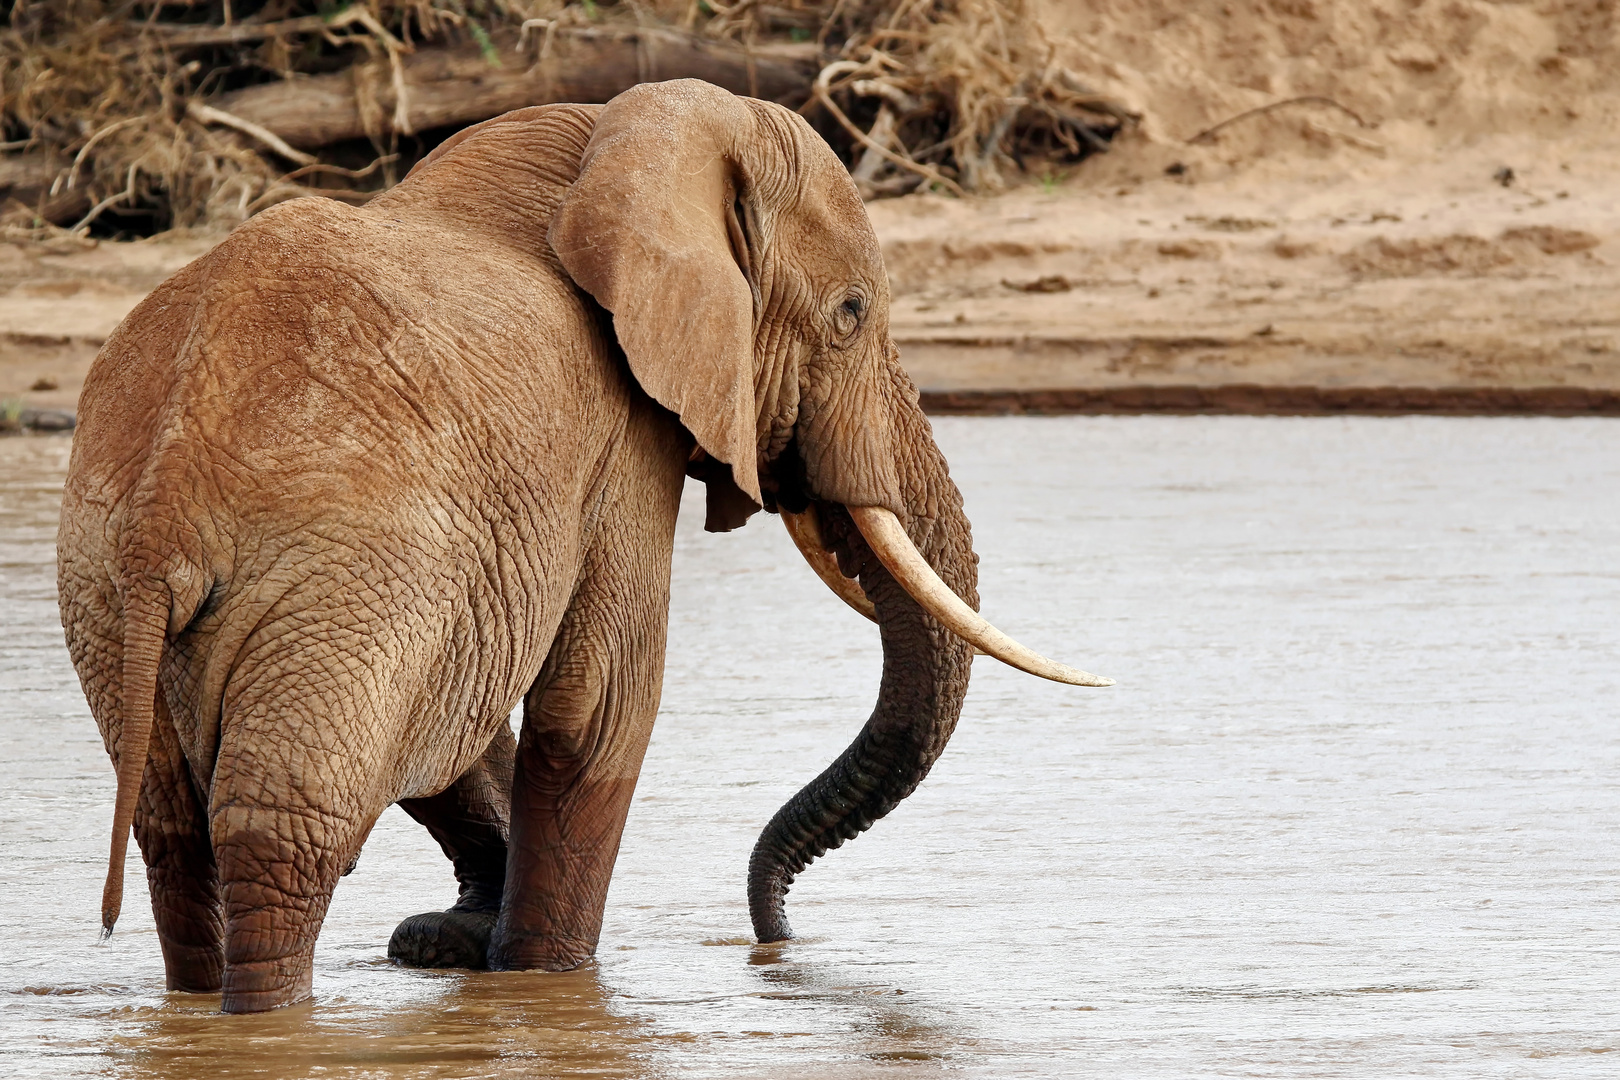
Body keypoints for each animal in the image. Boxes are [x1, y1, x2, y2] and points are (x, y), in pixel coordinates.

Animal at [57, 78, 1108, 1016]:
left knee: (175, 820)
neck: (613, 138)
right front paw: (545, 977)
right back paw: (269, 1015)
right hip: (343, 571)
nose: (776, 943)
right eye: (851, 314)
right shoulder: (623, 432)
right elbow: (599, 700)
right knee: (286, 823)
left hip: (109, 590)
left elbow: (470, 714)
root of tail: (165, 510)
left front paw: (461, 949)